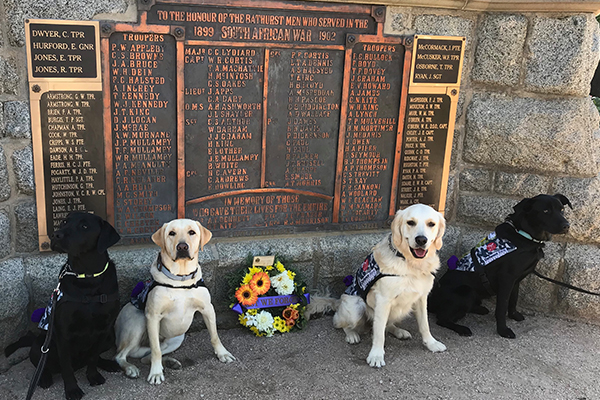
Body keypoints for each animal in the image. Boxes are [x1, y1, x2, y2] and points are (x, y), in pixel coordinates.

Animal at [4, 212, 120, 396]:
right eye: (64, 221)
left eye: (84, 226)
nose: (55, 235)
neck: (87, 277)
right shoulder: (63, 333)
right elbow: (66, 366)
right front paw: (72, 389)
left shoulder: (104, 329)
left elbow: (93, 357)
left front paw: (93, 376)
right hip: (40, 346)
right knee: (42, 365)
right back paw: (44, 378)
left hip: (110, 338)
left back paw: (108, 364)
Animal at [432, 194, 572, 338]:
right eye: (545, 211)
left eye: (561, 210)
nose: (567, 226)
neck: (524, 234)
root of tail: (432, 300)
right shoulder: (506, 279)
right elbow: (502, 307)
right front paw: (503, 330)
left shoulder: (515, 281)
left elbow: (513, 300)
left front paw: (514, 315)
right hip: (466, 291)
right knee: (442, 319)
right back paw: (461, 328)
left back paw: (479, 309)